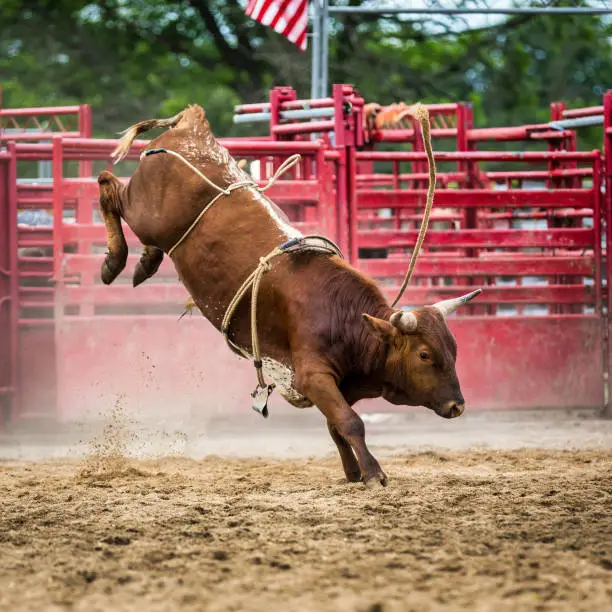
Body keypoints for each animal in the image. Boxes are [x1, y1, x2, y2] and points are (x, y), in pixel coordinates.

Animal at [98, 105, 480, 488]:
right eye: (425, 355)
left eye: (454, 349)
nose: (458, 406)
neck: (343, 315)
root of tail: (193, 126)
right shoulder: (312, 376)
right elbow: (351, 422)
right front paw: (373, 474)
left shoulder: (343, 383)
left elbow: (337, 425)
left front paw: (353, 473)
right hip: (144, 212)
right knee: (108, 185)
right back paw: (114, 261)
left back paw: (145, 262)